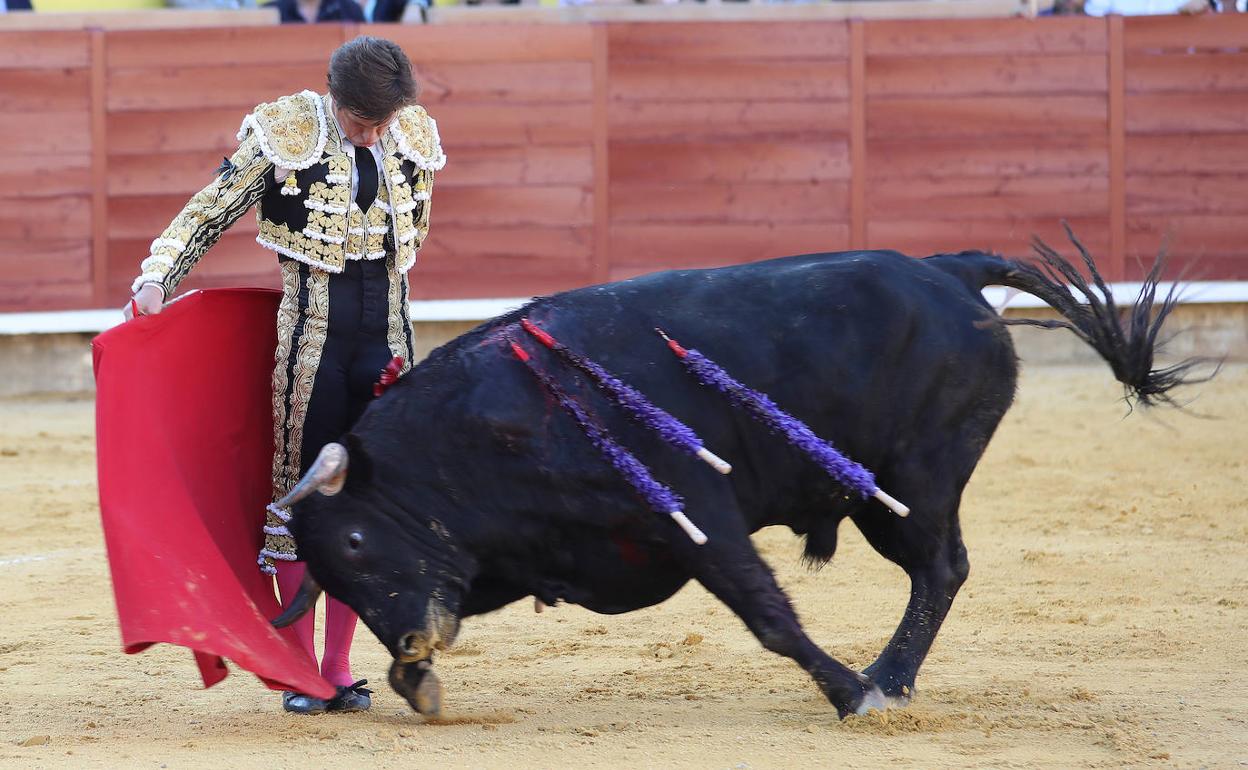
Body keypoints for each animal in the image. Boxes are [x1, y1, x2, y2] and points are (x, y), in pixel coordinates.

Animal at [270, 234, 1198, 713]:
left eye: (355, 542)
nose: (412, 640)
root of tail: (947, 268)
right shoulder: (512, 555)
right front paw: (412, 680)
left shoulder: (699, 515)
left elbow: (768, 615)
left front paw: (846, 693)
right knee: (941, 570)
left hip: (913, 483)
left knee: (940, 569)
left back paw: (886, 682)